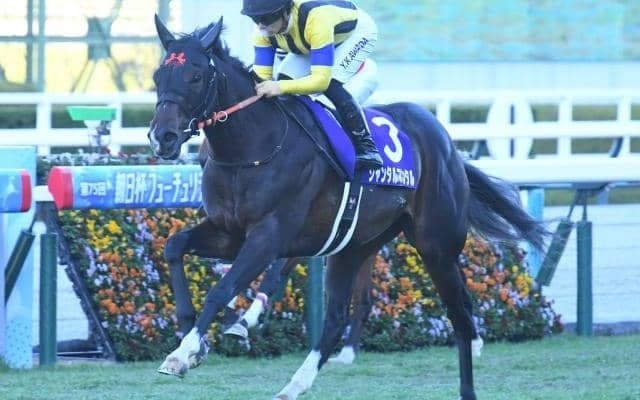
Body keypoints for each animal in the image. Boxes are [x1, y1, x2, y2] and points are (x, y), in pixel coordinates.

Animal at [148, 15, 547, 400]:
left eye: (195, 76)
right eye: (157, 77)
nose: (162, 137)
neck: (252, 148)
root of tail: (446, 142)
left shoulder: (269, 236)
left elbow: (223, 288)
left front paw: (183, 352)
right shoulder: (229, 232)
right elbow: (174, 247)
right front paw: (192, 340)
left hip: (436, 246)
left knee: (459, 313)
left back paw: (468, 385)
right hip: (354, 245)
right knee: (337, 317)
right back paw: (294, 386)